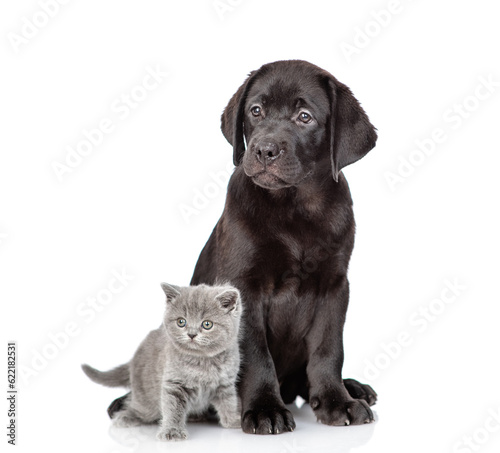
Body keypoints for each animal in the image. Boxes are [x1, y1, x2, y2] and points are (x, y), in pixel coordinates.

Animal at [82, 280, 242, 440]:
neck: (202, 361)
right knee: (139, 407)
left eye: (207, 324)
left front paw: (233, 420)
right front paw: (172, 431)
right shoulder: (174, 383)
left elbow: (229, 402)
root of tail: (134, 358)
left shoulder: (225, 383)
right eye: (181, 322)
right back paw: (126, 417)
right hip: (145, 398)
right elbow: (173, 408)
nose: (191, 334)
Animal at [108, 58, 376, 432]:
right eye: (256, 110)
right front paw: (265, 409)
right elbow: (255, 353)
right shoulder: (244, 286)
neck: (295, 206)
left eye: (304, 116)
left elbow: (328, 348)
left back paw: (354, 388)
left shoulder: (334, 284)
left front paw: (337, 401)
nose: (263, 150)